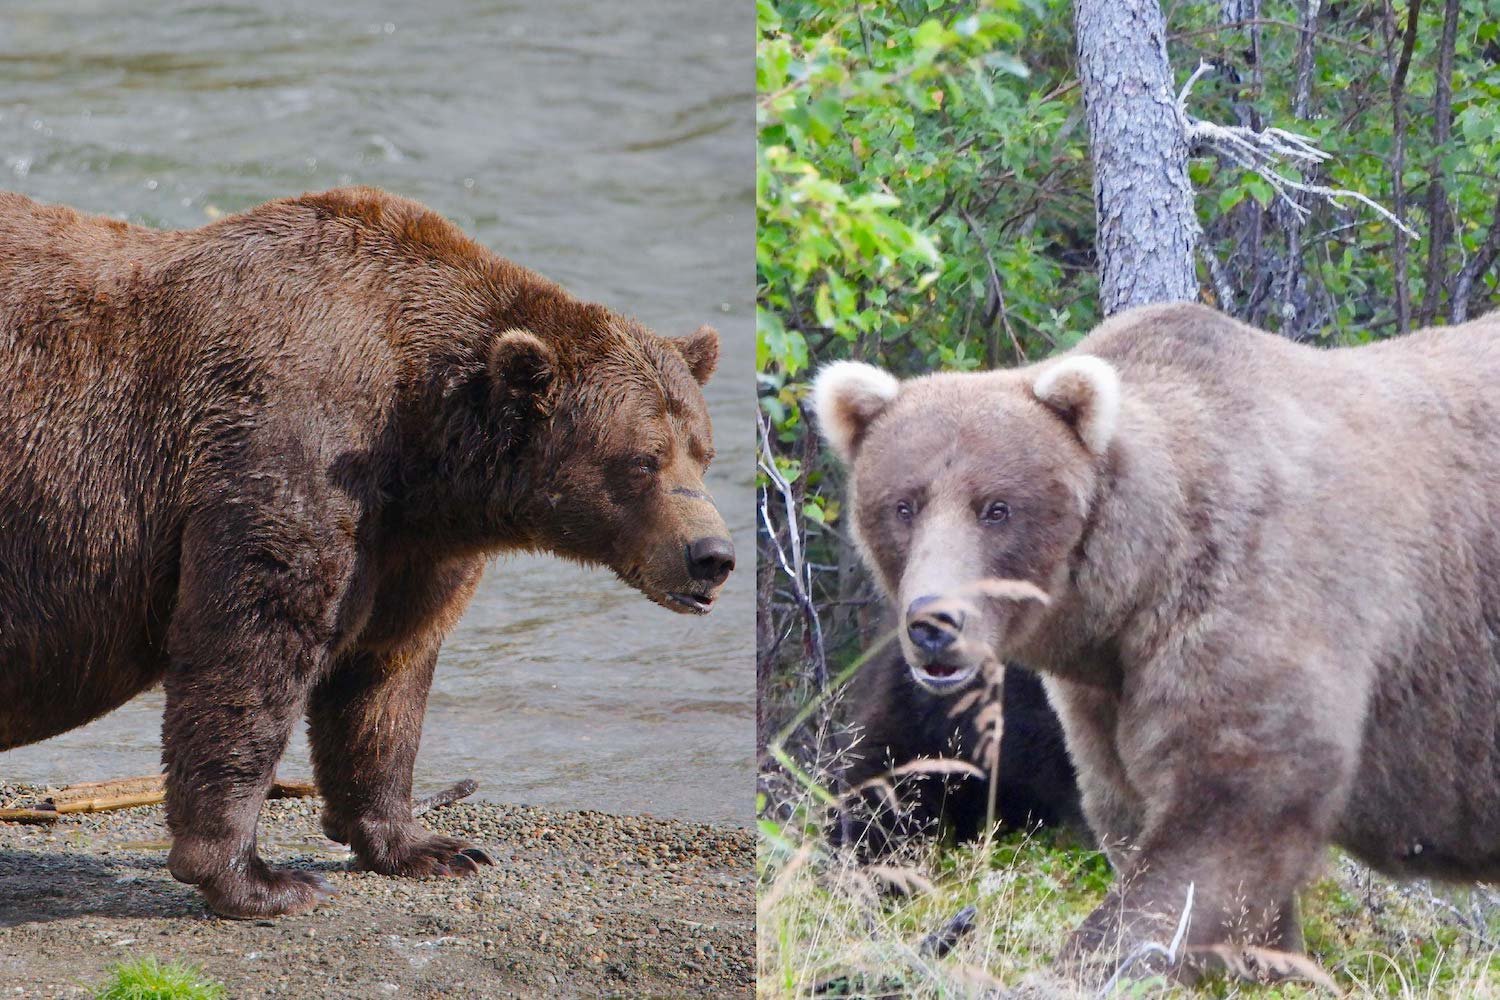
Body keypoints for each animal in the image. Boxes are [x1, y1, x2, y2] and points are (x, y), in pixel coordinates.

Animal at [0, 183, 732, 917]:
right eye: (641, 461)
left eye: (703, 452)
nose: (713, 555)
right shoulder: (284, 450)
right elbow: (251, 647)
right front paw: (257, 878)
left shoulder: (410, 545)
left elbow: (385, 677)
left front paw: (426, 846)